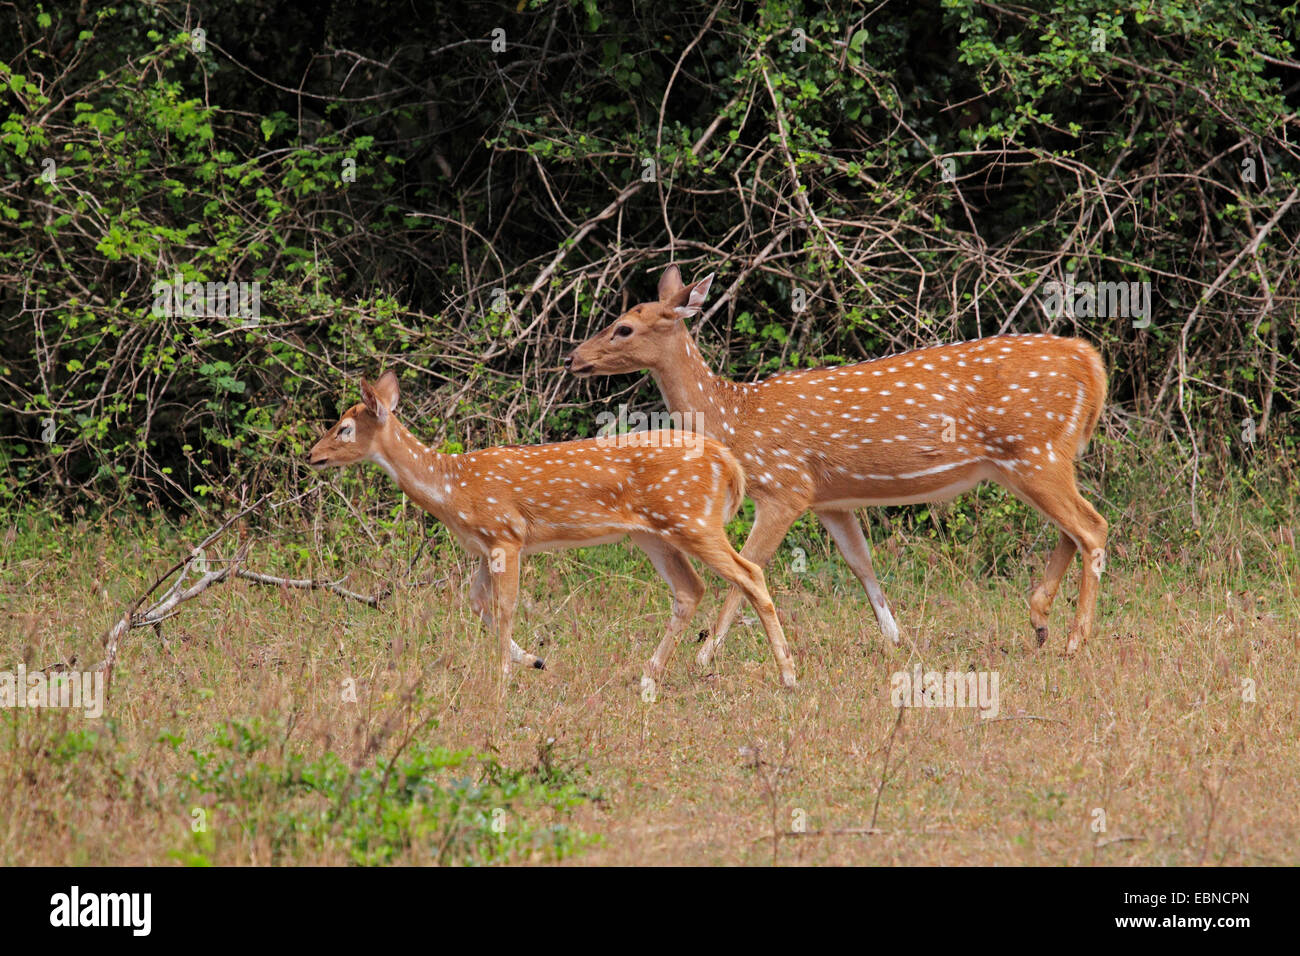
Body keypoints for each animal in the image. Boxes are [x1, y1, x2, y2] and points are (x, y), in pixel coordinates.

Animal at [309, 369, 795, 691]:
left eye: (345, 427)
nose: (312, 455)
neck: (452, 488)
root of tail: (726, 462)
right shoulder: (485, 547)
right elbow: (478, 603)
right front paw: (533, 660)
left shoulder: (506, 534)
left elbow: (505, 607)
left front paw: (503, 676)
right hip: (653, 533)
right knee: (690, 590)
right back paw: (648, 678)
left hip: (692, 519)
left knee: (749, 573)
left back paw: (788, 676)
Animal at [566, 265, 1107, 660]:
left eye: (624, 327)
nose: (574, 358)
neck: (736, 419)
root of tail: (1092, 363)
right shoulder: (829, 498)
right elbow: (861, 564)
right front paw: (897, 640)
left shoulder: (783, 488)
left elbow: (749, 568)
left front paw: (705, 655)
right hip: (1034, 459)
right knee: (1074, 527)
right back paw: (1039, 619)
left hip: (1033, 451)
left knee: (1092, 526)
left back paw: (1074, 640)